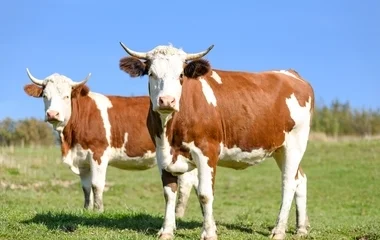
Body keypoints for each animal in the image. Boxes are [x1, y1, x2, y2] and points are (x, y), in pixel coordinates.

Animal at [23, 68, 199, 216]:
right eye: (45, 96)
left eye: (66, 96)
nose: (52, 114)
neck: (70, 140)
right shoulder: (82, 159)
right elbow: (86, 187)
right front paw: (86, 210)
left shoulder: (98, 153)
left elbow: (96, 184)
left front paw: (98, 211)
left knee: (186, 184)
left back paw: (178, 214)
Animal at [119, 43, 314, 240]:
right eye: (151, 73)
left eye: (181, 75)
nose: (167, 100)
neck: (170, 131)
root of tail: (290, 73)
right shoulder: (161, 153)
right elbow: (169, 193)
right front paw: (166, 231)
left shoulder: (207, 150)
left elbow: (205, 194)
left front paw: (209, 232)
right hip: (279, 149)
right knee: (300, 178)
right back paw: (301, 228)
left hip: (295, 144)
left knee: (288, 183)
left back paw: (279, 230)